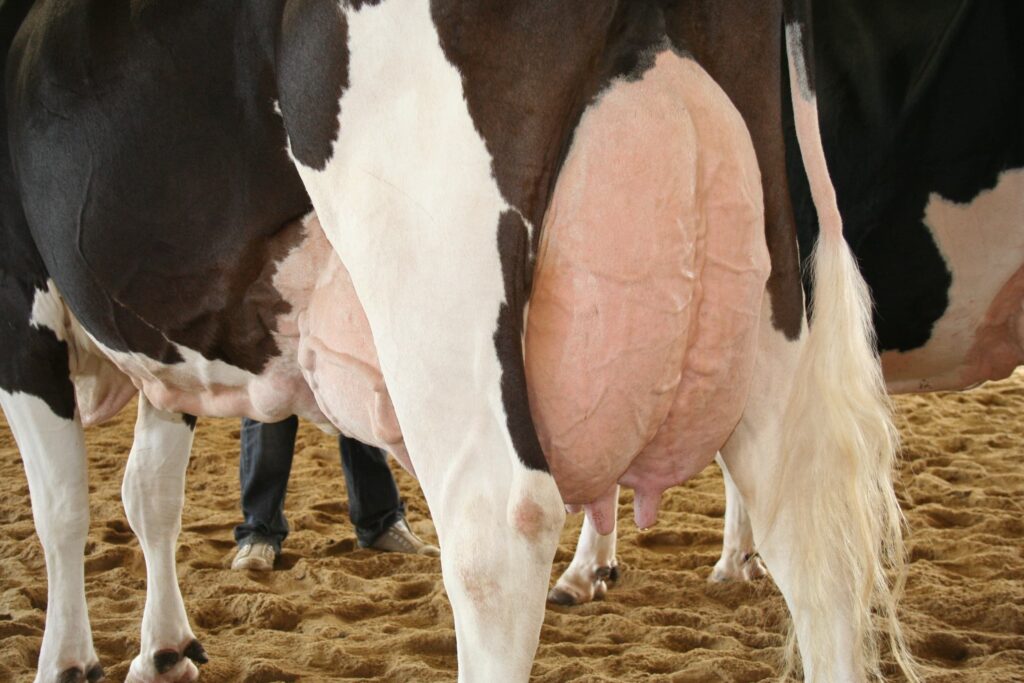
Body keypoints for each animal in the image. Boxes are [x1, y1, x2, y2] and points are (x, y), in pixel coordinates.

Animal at [0, 1, 917, 682]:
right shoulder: (166, 349)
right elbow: (149, 495)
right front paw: (164, 647)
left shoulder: (21, 301)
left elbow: (62, 505)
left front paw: (67, 659)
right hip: (778, 279)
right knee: (810, 533)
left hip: (438, 281)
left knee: (496, 531)